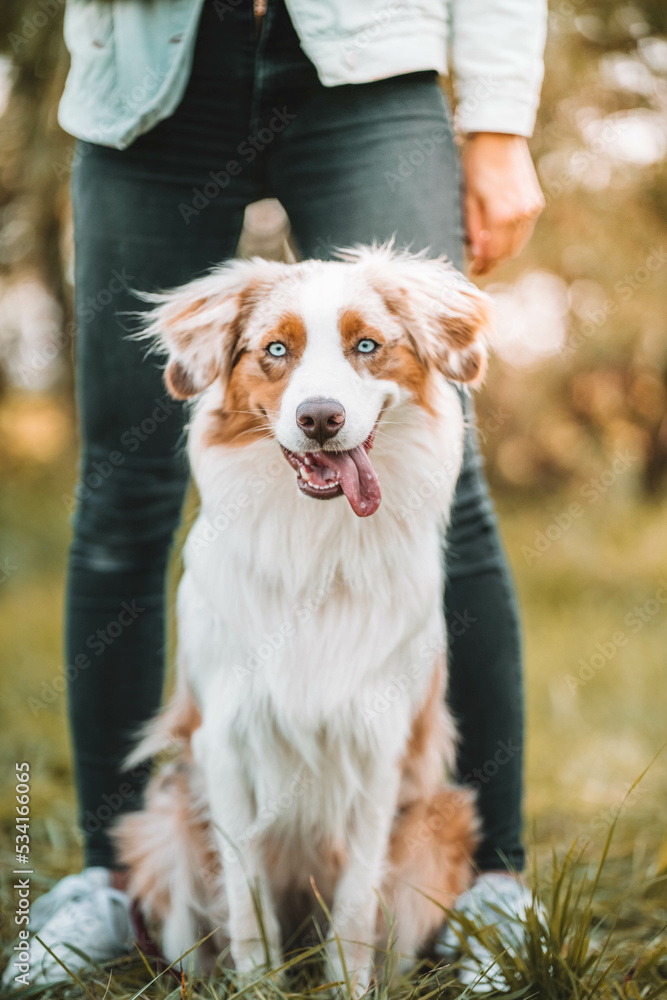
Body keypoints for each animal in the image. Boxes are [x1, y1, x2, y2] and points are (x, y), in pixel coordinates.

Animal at [113, 244, 490, 992]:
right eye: (276, 350)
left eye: (366, 346)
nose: (320, 418)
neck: (318, 545)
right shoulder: (225, 742)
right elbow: (247, 900)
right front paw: (260, 986)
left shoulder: (378, 747)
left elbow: (354, 907)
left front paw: (347, 987)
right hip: (164, 831)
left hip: (437, 829)